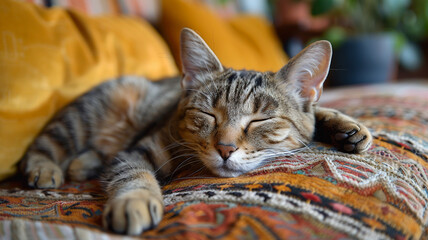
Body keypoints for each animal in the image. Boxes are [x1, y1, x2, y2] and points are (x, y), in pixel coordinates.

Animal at [18, 28, 372, 234]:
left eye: (259, 121)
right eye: (208, 115)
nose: (225, 148)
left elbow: (317, 117)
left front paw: (345, 127)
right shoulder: (137, 148)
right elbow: (133, 174)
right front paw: (134, 200)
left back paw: (83, 164)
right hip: (88, 114)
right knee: (42, 146)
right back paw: (45, 168)